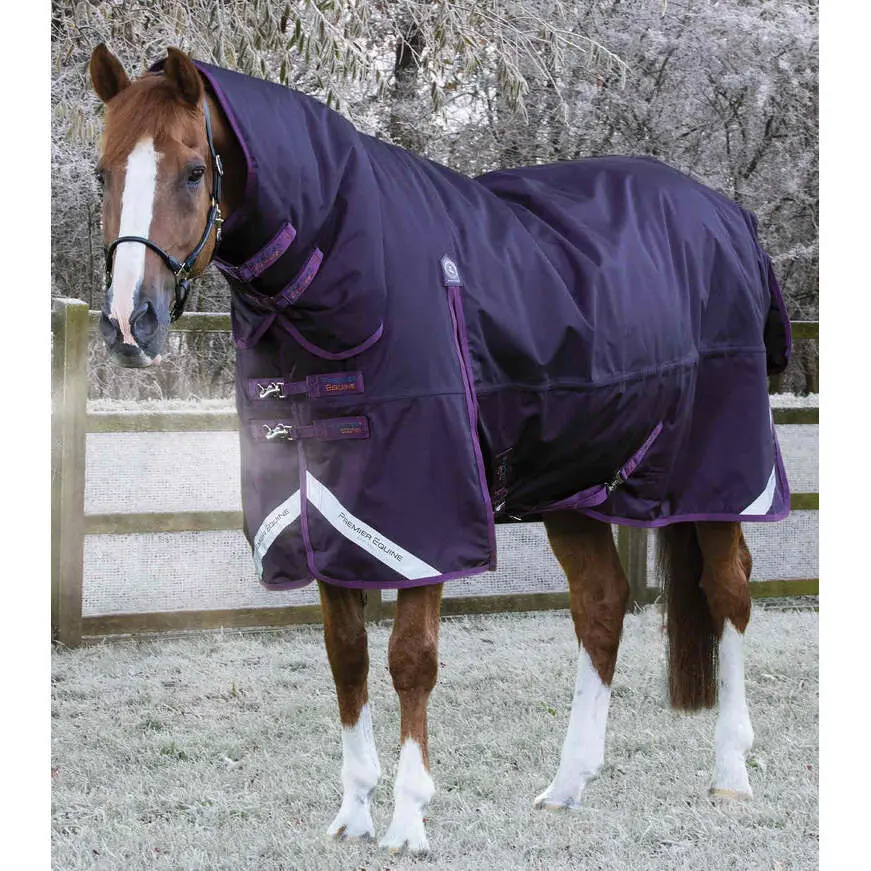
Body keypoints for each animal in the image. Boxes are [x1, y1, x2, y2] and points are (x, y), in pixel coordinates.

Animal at [88, 44, 791, 854]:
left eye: (195, 170)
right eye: (103, 173)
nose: (129, 323)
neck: (342, 268)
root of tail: (730, 218)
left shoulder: (424, 516)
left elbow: (409, 660)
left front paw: (406, 820)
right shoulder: (325, 512)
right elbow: (347, 655)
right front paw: (353, 813)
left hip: (718, 474)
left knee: (729, 591)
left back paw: (730, 773)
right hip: (571, 484)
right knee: (601, 604)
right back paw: (566, 785)